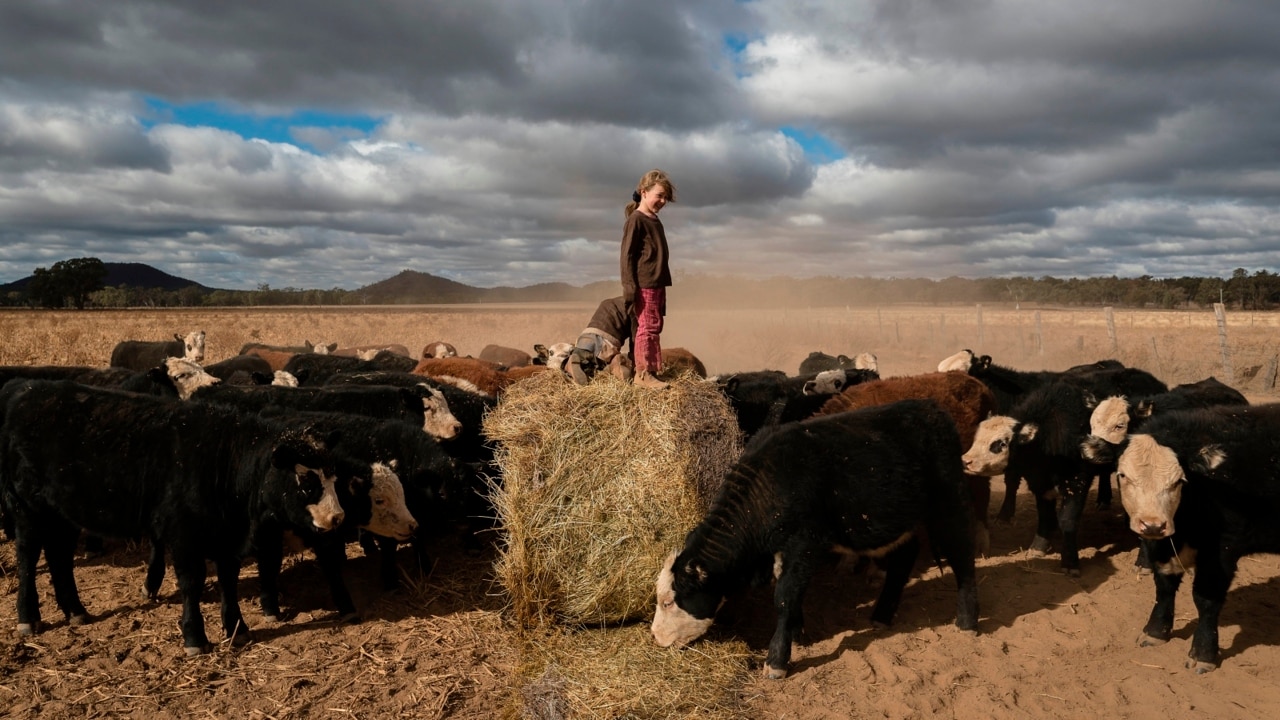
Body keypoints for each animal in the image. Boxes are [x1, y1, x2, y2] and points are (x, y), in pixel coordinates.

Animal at [655, 397, 972, 676]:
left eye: (669, 601)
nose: (656, 637)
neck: (770, 484)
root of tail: (930, 407)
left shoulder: (805, 543)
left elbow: (784, 596)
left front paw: (777, 660)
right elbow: (791, 591)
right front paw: (797, 633)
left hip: (949, 504)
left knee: (962, 553)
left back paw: (967, 620)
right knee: (905, 556)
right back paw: (882, 616)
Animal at [1116, 404, 1280, 671]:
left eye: (1178, 481)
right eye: (1122, 475)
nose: (1153, 525)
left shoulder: (1220, 553)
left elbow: (1206, 600)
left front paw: (1203, 653)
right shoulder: (1163, 548)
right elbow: (1164, 588)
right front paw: (1155, 632)